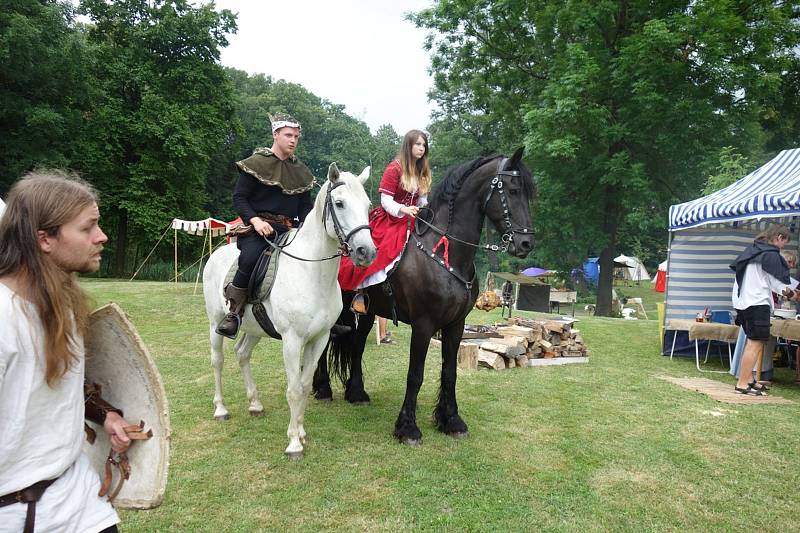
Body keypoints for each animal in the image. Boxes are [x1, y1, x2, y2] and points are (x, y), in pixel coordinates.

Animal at [200, 163, 376, 458]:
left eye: (368, 206)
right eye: (339, 203)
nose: (366, 252)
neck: (311, 272)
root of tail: (216, 254)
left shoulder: (320, 339)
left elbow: (304, 386)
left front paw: (301, 432)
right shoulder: (292, 341)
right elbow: (293, 389)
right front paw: (294, 443)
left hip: (253, 328)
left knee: (242, 354)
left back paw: (255, 404)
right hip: (215, 323)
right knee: (217, 360)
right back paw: (220, 409)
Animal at [316, 147, 536, 444]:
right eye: (512, 190)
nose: (526, 243)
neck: (443, 253)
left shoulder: (455, 325)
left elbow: (450, 372)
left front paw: (451, 420)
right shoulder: (423, 325)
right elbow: (415, 375)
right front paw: (408, 427)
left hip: (366, 313)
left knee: (357, 347)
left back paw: (357, 393)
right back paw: (323, 389)